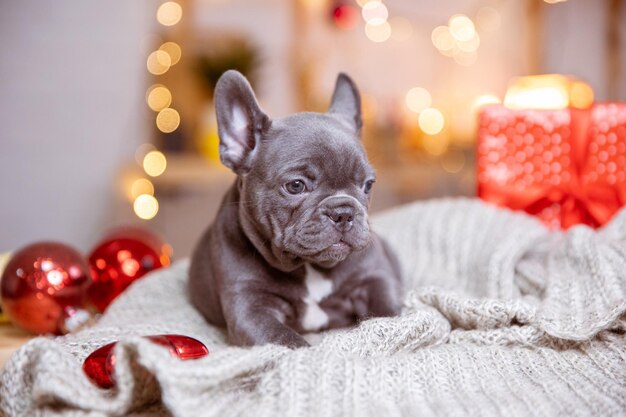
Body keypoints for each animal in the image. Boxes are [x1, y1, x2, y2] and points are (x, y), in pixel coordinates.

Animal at [188, 69, 400, 348]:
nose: (343, 211)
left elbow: (391, 315)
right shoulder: (252, 310)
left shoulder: (374, 280)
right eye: (296, 186)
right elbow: (288, 341)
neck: (309, 267)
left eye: (368, 184)